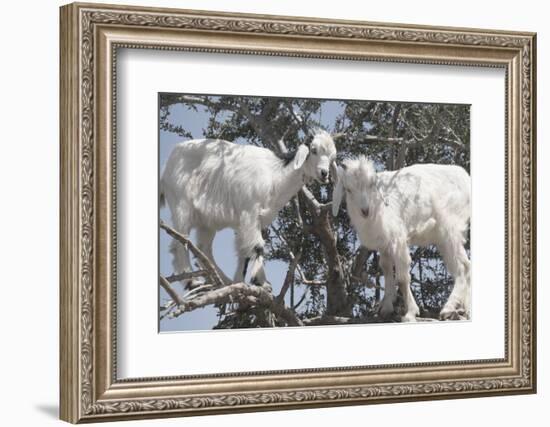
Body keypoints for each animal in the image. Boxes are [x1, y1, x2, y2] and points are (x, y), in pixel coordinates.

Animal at [162, 131, 338, 288]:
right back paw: (192, 282)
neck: (275, 176)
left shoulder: (252, 221)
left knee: (203, 249)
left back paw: (223, 280)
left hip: (206, 222)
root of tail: (166, 168)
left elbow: (244, 250)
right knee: (180, 242)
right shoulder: (249, 212)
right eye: (313, 150)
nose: (324, 174)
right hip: (181, 205)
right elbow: (258, 246)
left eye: (332, 157)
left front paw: (240, 281)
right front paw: (261, 282)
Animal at [334, 156, 472, 320]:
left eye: (371, 184)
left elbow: (402, 278)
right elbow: (386, 268)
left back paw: (448, 309)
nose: (365, 211)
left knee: (462, 267)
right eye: (348, 189)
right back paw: (464, 309)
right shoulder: (384, 244)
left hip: (450, 228)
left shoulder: (398, 239)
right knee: (466, 265)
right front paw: (386, 307)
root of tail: (465, 178)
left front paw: (410, 313)